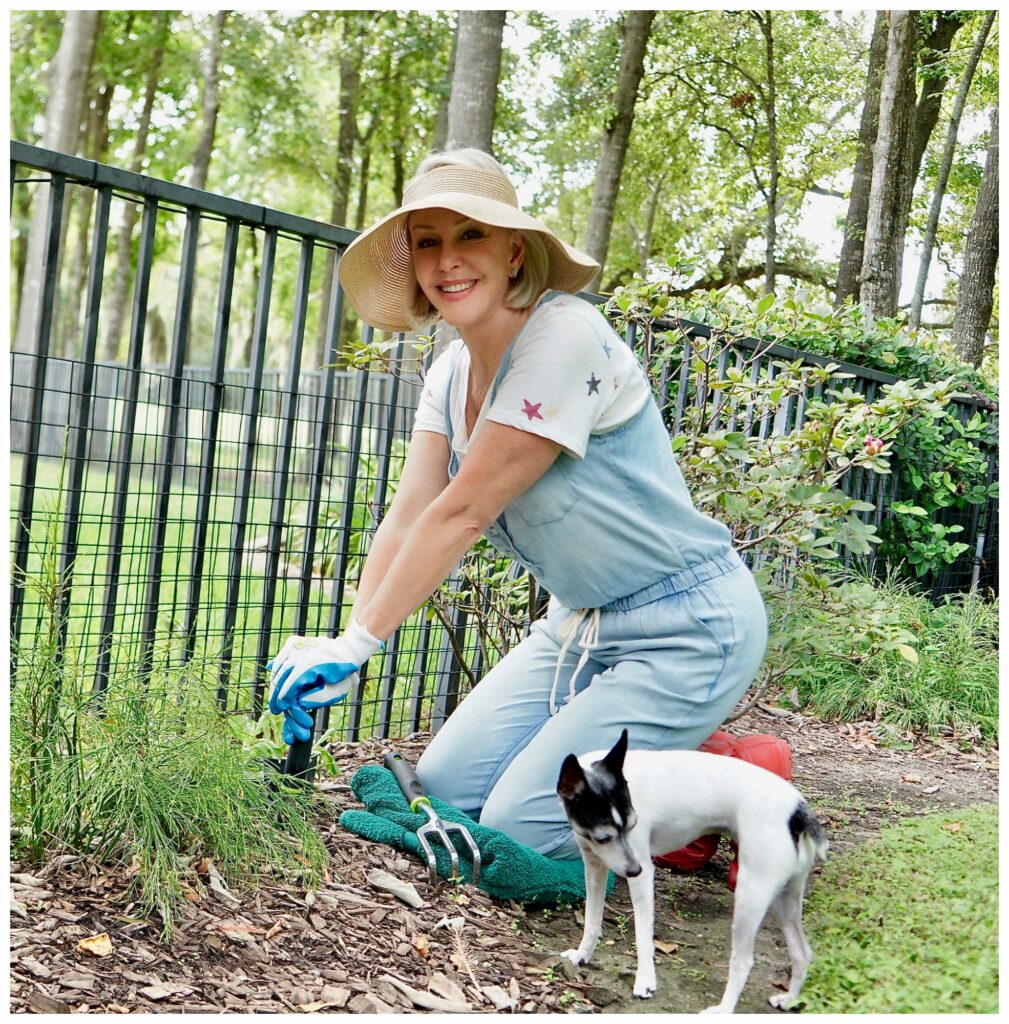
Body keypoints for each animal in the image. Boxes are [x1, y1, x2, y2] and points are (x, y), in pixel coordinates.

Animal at [557, 733, 827, 1011]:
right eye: (603, 838)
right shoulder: (595, 867)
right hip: (784, 899)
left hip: (750, 897)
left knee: (743, 962)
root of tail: (797, 810)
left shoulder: (642, 877)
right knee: (801, 953)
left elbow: (643, 936)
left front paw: (645, 981)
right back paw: (790, 999)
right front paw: (582, 955)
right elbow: (592, 920)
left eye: (633, 825)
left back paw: (723, 1010)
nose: (634, 869)